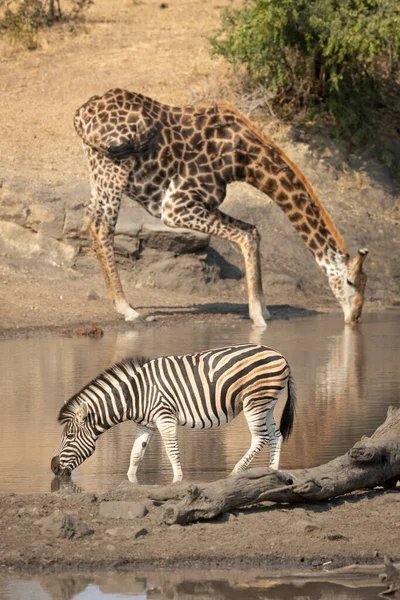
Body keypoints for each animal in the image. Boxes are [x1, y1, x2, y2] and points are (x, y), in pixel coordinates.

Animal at [50, 342, 296, 482]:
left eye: (69, 437)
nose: (52, 467)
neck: (135, 394)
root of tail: (280, 355)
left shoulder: (164, 416)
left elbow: (171, 451)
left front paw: (178, 480)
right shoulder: (146, 424)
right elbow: (135, 454)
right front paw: (130, 480)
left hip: (254, 401)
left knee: (260, 437)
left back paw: (236, 471)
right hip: (267, 403)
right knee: (276, 436)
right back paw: (273, 472)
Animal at [72, 88, 368, 328]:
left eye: (365, 282)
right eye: (350, 281)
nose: (355, 317)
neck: (244, 160)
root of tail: (81, 113)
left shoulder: (203, 203)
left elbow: (253, 232)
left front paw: (264, 310)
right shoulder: (175, 207)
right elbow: (245, 236)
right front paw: (258, 318)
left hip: (96, 167)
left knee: (90, 221)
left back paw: (116, 300)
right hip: (114, 167)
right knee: (103, 226)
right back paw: (127, 309)